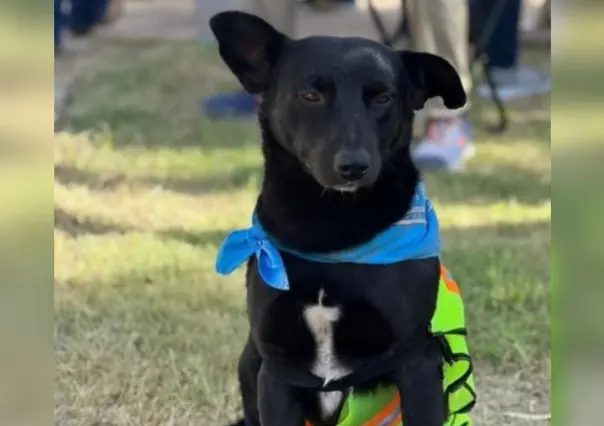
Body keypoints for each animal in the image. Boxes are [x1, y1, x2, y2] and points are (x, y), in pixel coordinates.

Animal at [211, 10, 468, 426]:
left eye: (382, 97)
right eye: (310, 95)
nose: (354, 167)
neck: (330, 231)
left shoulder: (417, 361)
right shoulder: (278, 371)